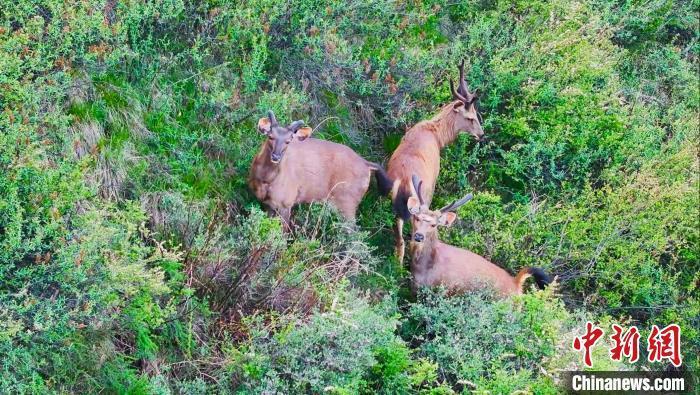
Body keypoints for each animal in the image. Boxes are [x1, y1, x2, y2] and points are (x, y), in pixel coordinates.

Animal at [249, 110, 392, 229]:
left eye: (288, 141)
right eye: (270, 136)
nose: (276, 156)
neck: (266, 180)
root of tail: (366, 164)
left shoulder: (286, 201)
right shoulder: (268, 204)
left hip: (348, 201)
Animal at [382, 60, 486, 264]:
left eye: (476, 115)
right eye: (470, 117)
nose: (481, 134)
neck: (438, 136)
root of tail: (404, 181)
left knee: (398, 237)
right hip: (422, 201)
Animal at [404, 174, 552, 296]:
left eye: (434, 225)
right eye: (416, 218)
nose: (419, 236)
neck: (423, 269)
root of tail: (516, 285)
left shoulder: (445, 290)